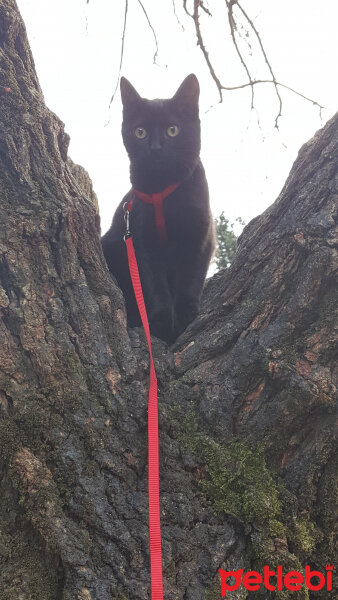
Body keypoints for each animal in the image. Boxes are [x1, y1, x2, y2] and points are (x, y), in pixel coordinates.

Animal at [101, 75, 215, 342]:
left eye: (172, 130)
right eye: (140, 132)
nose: (155, 148)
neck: (165, 192)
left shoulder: (200, 234)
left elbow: (190, 276)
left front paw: (186, 314)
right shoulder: (143, 241)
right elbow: (154, 285)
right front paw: (162, 323)